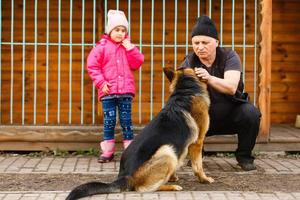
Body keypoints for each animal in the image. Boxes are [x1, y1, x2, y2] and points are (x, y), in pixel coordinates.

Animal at [65, 67, 213, 200]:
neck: (185, 90)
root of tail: (125, 176)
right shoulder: (197, 142)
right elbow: (198, 165)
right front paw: (204, 179)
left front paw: (173, 177)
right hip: (167, 151)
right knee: (144, 188)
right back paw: (170, 187)